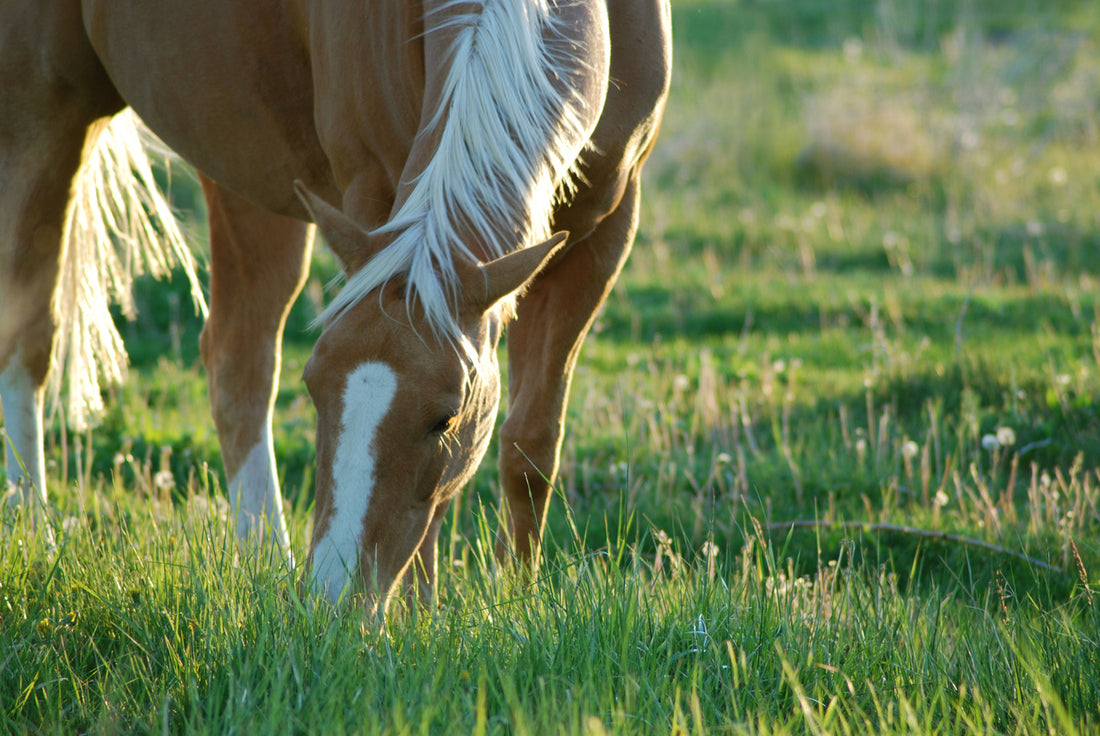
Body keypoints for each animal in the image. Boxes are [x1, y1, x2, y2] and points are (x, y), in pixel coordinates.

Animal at [0, 0, 668, 616]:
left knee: (238, 360)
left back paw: (264, 559)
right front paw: (421, 620)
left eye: (446, 419)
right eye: (316, 391)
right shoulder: (374, 191)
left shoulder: (609, 229)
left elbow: (531, 443)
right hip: (42, 115)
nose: (330, 597)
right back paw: (35, 533)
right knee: (29, 337)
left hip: (243, 166)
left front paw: (518, 599)